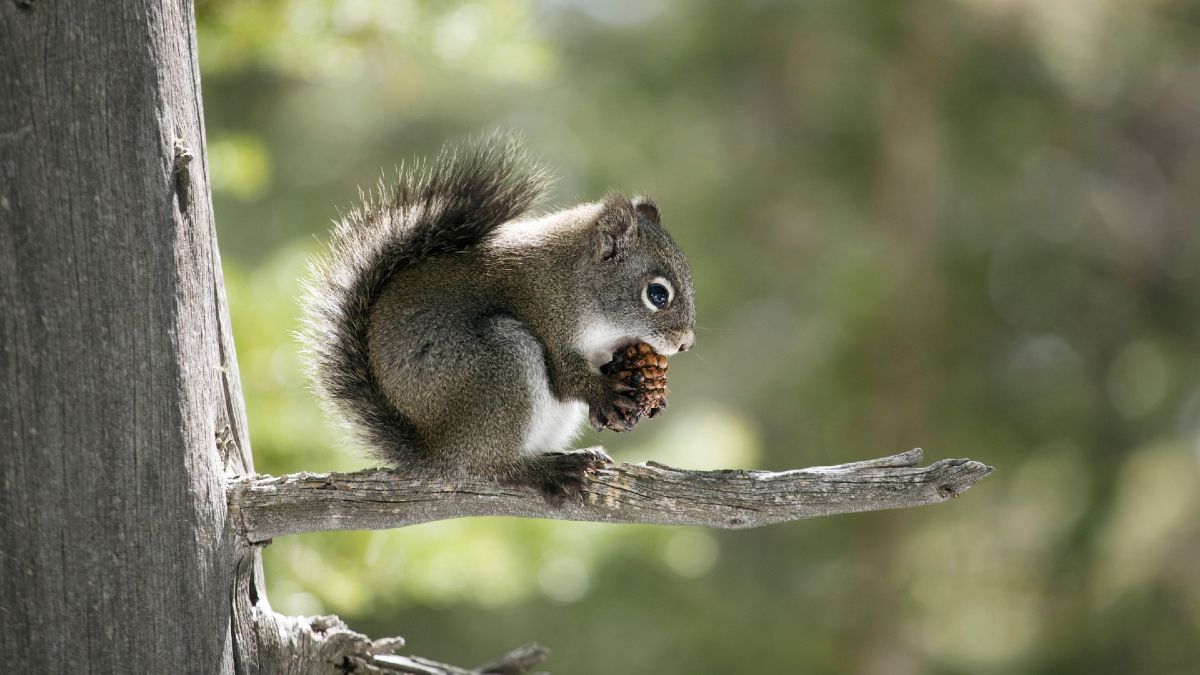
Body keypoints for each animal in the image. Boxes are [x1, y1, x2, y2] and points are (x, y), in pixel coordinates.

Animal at [300, 136, 696, 502]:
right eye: (657, 294)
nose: (686, 343)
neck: (580, 286)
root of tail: (436, 453)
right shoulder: (548, 313)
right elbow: (567, 377)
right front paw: (606, 392)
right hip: (500, 366)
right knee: (488, 465)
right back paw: (545, 472)